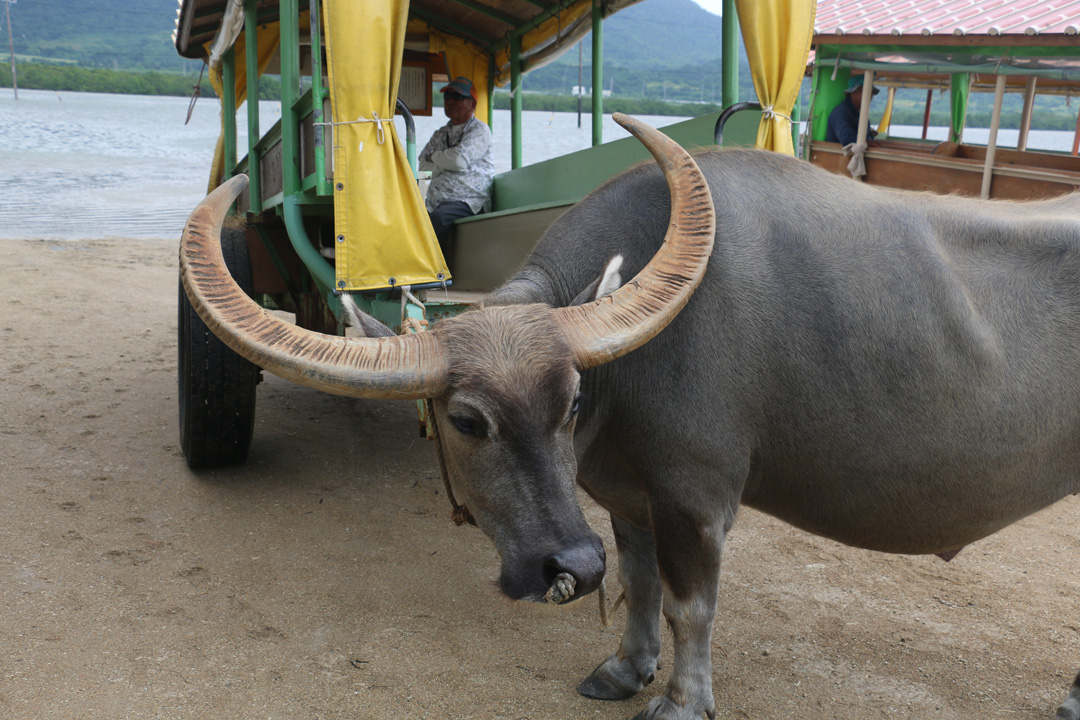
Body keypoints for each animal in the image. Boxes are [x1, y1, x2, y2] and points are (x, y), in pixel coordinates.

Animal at [181, 117, 1080, 720]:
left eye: (571, 400)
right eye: (467, 420)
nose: (567, 566)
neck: (641, 364)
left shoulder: (696, 499)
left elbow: (691, 605)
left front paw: (681, 701)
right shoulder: (627, 496)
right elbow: (642, 584)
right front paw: (622, 669)